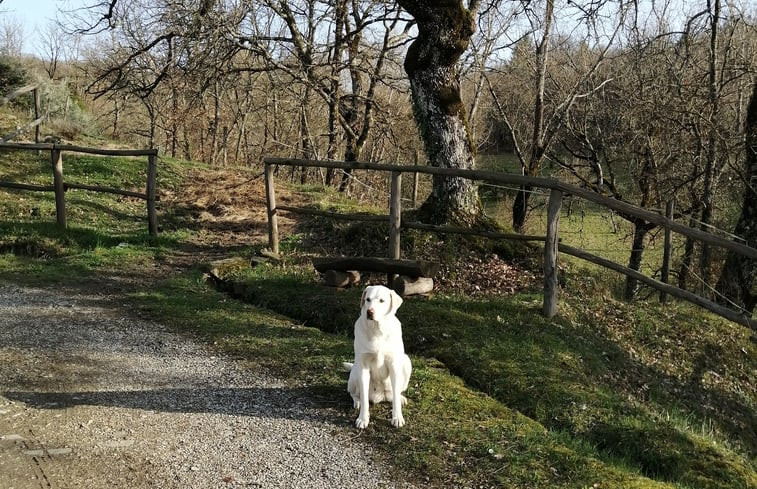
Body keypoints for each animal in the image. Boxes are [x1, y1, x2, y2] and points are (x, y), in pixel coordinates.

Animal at [344, 284, 410, 426]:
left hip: (406, 362)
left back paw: (400, 398)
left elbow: (395, 398)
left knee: (394, 394)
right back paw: (357, 401)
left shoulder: (394, 364)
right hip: (355, 372)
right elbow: (364, 399)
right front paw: (363, 418)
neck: (377, 330)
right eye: (367, 299)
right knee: (354, 394)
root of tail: (380, 397)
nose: (369, 312)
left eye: (382, 301)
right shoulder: (363, 366)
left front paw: (397, 417)